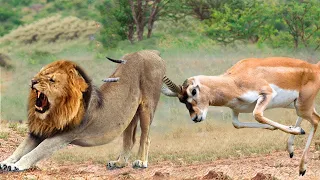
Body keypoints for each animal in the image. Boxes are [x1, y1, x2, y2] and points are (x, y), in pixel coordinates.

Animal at [0, 49, 165, 172]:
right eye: (39, 74)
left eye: (51, 80)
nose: (33, 81)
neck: (54, 113)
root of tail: (152, 52)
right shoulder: (38, 133)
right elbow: (20, 149)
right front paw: (6, 162)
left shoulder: (63, 136)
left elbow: (35, 152)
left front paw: (17, 165)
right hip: (129, 115)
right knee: (129, 140)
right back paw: (119, 163)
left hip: (147, 107)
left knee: (145, 137)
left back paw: (141, 162)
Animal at [162, 57, 320, 176]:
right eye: (181, 100)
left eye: (193, 91)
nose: (195, 117)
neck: (234, 81)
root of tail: (314, 67)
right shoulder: (236, 109)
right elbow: (236, 124)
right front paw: (278, 128)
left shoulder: (267, 94)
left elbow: (257, 115)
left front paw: (298, 130)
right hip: (296, 105)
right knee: (312, 116)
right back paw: (291, 148)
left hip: (302, 105)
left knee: (316, 120)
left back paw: (302, 167)